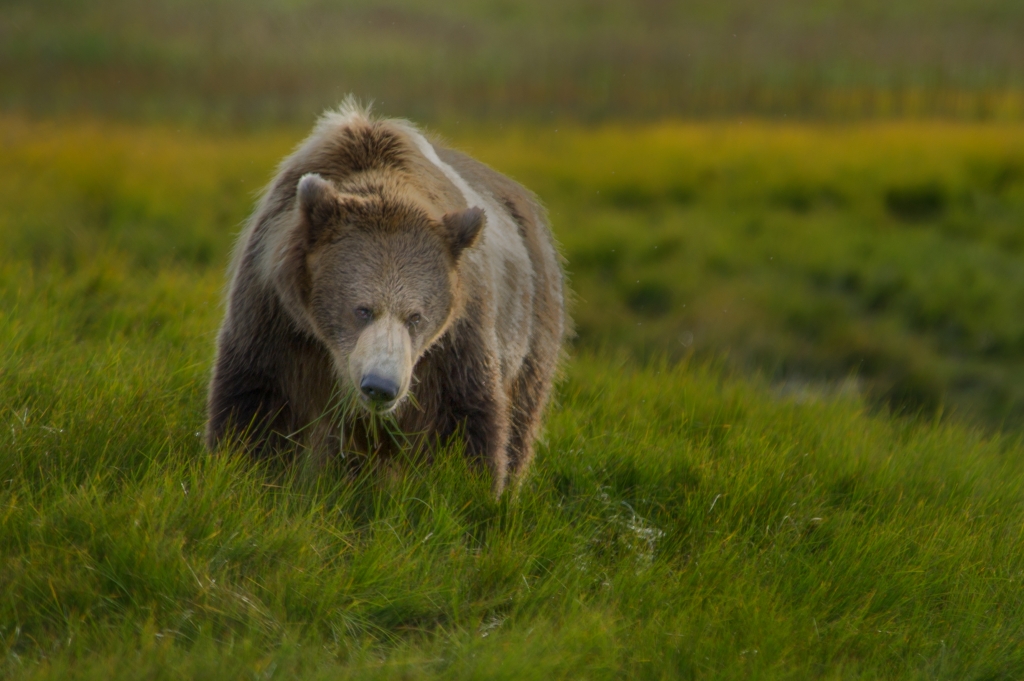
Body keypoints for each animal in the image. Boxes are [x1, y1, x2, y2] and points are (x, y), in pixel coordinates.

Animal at [205, 100, 569, 493]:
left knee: (521, 417)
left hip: (532, 326)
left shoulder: (455, 342)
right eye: (362, 309)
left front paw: (469, 489)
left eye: (416, 316)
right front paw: (244, 469)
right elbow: (256, 399)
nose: (381, 386)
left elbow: (464, 419)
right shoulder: (276, 315)